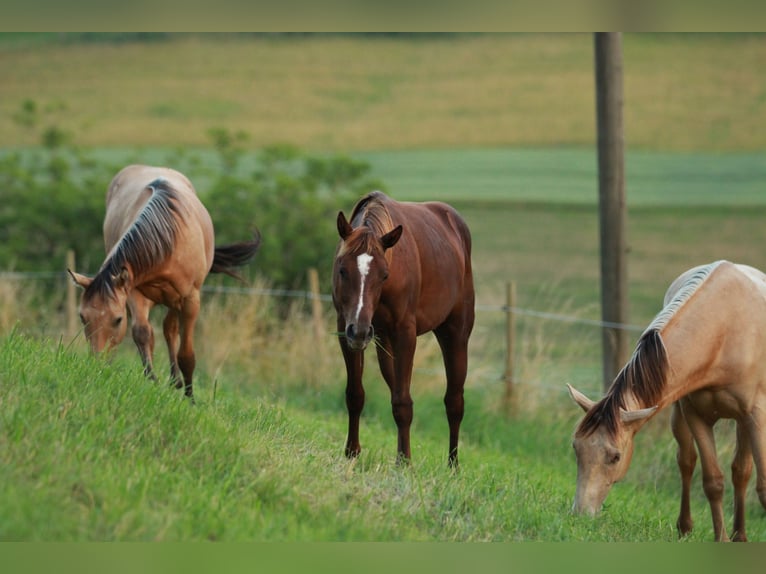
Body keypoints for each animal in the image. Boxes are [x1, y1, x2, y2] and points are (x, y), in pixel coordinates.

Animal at [69, 164, 260, 402]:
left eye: (117, 319)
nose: (97, 363)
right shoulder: (133, 291)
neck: (167, 240)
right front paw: (152, 380)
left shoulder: (190, 299)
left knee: (170, 329)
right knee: (160, 331)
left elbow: (186, 354)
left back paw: (177, 382)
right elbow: (142, 333)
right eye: (82, 317)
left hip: (175, 300)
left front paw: (190, 399)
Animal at [334, 190, 476, 468]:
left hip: (455, 334)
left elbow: (402, 402)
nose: (360, 331)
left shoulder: (405, 335)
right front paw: (352, 452)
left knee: (454, 402)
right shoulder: (345, 330)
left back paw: (453, 465)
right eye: (343, 269)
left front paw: (404, 463)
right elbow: (356, 394)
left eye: (384, 275)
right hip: (382, 342)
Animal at [568, 264, 766, 544]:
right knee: (689, 462)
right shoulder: (696, 415)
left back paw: (741, 536)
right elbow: (713, 481)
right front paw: (721, 540)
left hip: (743, 422)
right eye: (576, 448)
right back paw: (691, 528)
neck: (724, 332)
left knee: (741, 471)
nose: (581, 513)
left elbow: (762, 487)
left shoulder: (755, 416)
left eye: (615, 457)